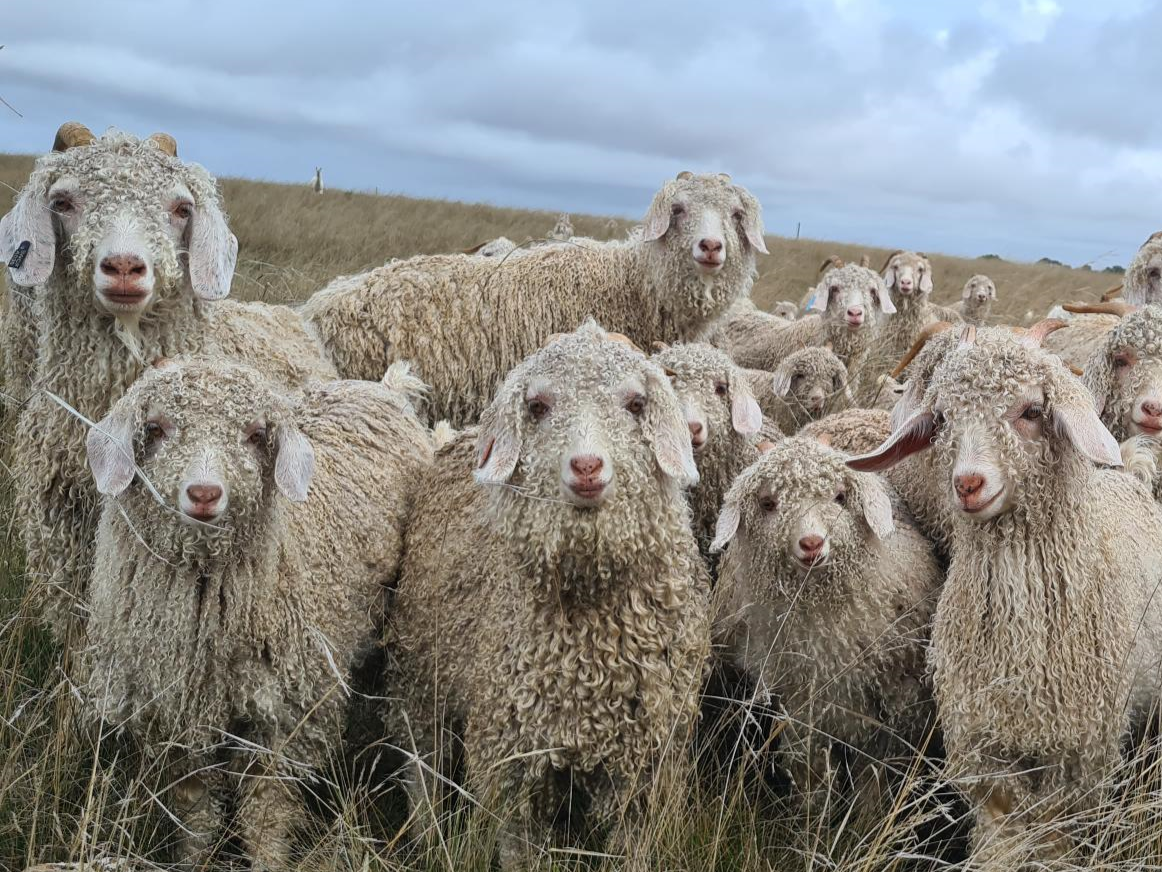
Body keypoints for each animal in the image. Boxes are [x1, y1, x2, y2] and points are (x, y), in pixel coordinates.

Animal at [81, 357, 433, 870]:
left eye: (255, 434)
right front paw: (192, 860)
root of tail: (384, 388)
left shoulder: (287, 715)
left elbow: (265, 813)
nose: (204, 493)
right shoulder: (175, 714)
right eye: (156, 428)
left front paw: (269, 861)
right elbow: (195, 809)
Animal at [384, 322, 710, 869]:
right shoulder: (513, 760)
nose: (587, 466)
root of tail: (456, 436)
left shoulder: (645, 765)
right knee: (420, 762)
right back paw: (427, 839)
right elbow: (520, 847)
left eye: (636, 403)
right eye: (537, 406)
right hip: (418, 670)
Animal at [710, 437, 940, 799]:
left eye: (839, 497)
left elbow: (873, 780)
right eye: (767, 503)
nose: (812, 543)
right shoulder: (804, 711)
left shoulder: (896, 708)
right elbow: (812, 780)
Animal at [847, 326, 1162, 865]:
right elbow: (1004, 837)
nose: (969, 484)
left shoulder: (1080, 756)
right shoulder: (982, 747)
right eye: (943, 418)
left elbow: (1054, 840)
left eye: (1032, 411)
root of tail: (1128, 474)